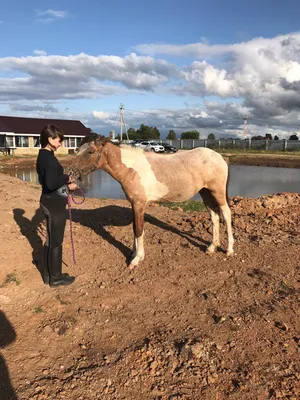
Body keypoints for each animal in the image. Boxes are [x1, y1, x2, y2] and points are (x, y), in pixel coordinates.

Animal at [68, 134, 234, 268]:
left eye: (90, 151)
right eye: (78, 149)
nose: (70, 174)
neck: (131, 168)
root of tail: (220, 157)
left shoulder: (139, 204)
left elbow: (139, 229)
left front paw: (137, 259)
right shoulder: (134, 205)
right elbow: (135, 228)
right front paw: (132, 253)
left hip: (217, 192)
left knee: (226, 214)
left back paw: (229, 250)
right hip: (205, 193)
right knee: (214, 216)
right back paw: (212, 247)